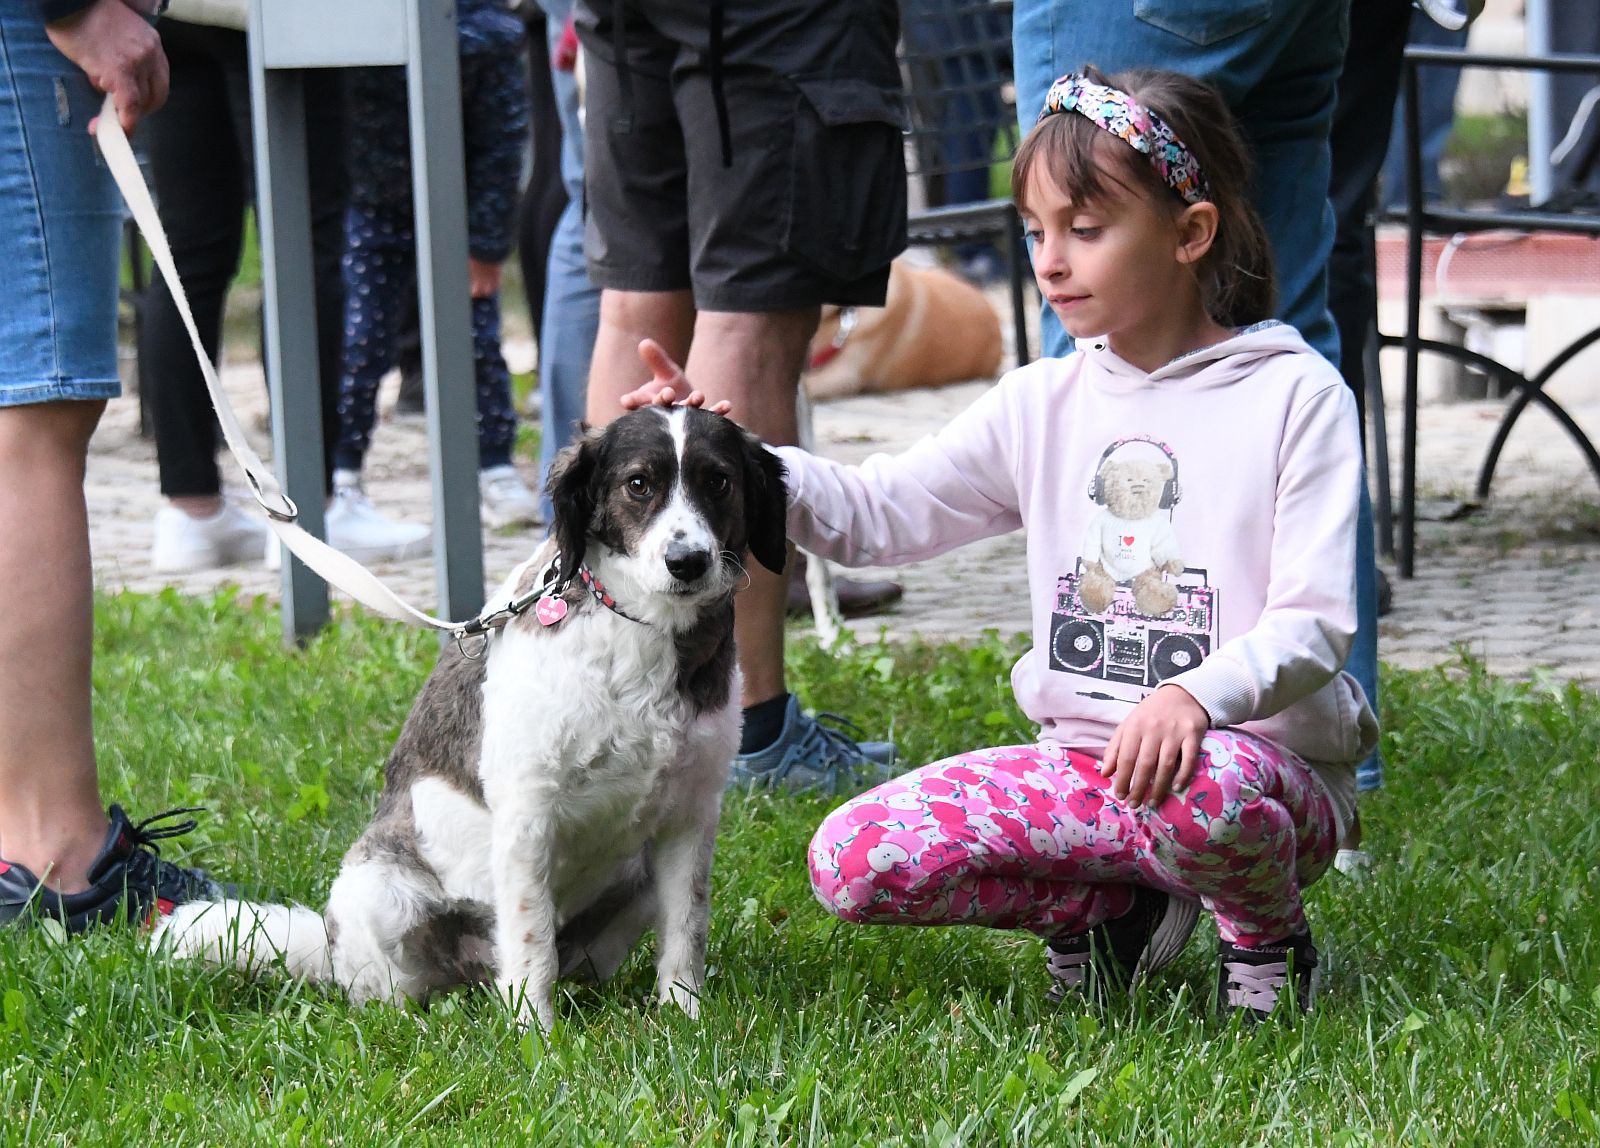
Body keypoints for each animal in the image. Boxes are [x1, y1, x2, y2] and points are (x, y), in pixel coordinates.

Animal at [156, 407, 787, 1036]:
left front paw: (685, 1015)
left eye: (718, 481)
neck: (642, 630)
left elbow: (686, 931)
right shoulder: (528, 814)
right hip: (377, 892)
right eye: (639, 484)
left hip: (635, 876)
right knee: (397, 993)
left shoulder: (690, 817)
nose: (688, 562)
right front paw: (536, 1035)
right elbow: (532, 945)